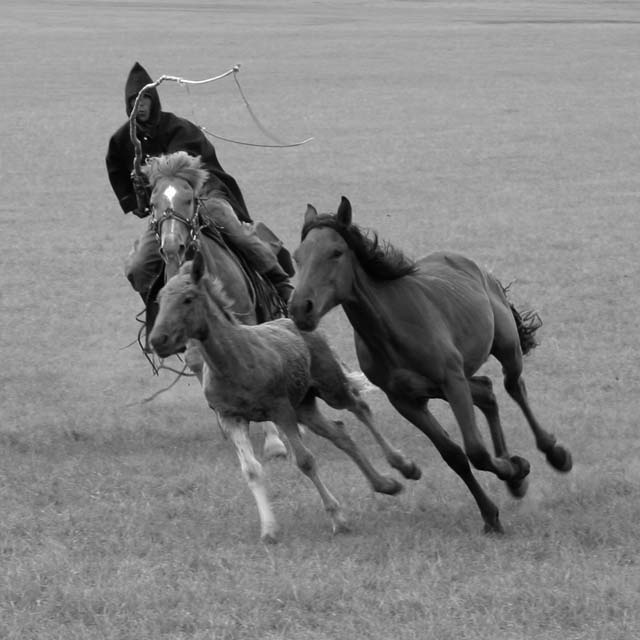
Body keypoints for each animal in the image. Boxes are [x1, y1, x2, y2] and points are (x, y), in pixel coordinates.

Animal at [145, 150, 288, 460]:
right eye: (153, 203)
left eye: (188, 199)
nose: (172, 246)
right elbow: (200, 363)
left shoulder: (245, 321)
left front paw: (274, 442)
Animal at [148, 252, 422, 544]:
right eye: (160, 300)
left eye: (188, 298)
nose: (158, 339)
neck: (233, 362)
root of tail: (299, 323)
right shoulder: (231, 417)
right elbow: (251, 469)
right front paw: (269, 530)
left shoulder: (279, 409)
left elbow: (305, 460)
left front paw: (338, 519)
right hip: (304, 406)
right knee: (340, 432)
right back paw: (385, 484)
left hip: (330, 388)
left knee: (360, 407)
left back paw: (404, 465)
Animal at [288, 196, 572, 536]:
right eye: (297, 257)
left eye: (336, 252)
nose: (300, 308)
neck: (390, 330)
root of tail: (474, 266)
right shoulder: (406, 400)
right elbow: (454, 455)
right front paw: (493, 509)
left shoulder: (452, 382)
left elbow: (476, 451)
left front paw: (516, 468)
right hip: (445, 385)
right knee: (487, 391)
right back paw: (514, 478)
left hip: (504, 350)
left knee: (513, 386)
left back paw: (554, 454)